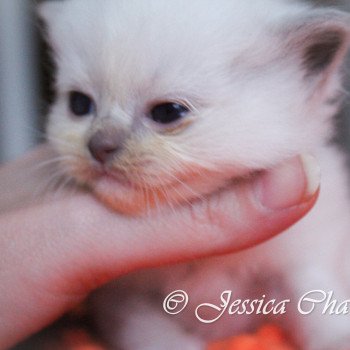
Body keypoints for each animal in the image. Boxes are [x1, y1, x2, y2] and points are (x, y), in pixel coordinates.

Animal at [39, 0, 350, 350]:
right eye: (79, 104)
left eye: (167, 112)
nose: (98, 146)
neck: (205, 259)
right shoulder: (123, 300)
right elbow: (155, 335)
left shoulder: (299, 261)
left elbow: (314, 298)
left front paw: (338, 339)